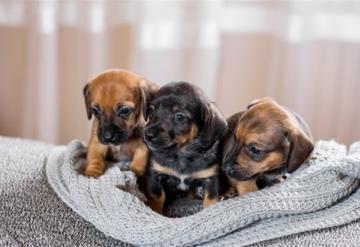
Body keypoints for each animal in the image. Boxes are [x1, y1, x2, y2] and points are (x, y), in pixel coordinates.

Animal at [142, 82, 226, 213]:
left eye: (179, 117)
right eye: (151, 110)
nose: (148, 135)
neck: (181, 154)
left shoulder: (211, 179)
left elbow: (210, 200)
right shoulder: (155, 175)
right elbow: (157, 198)